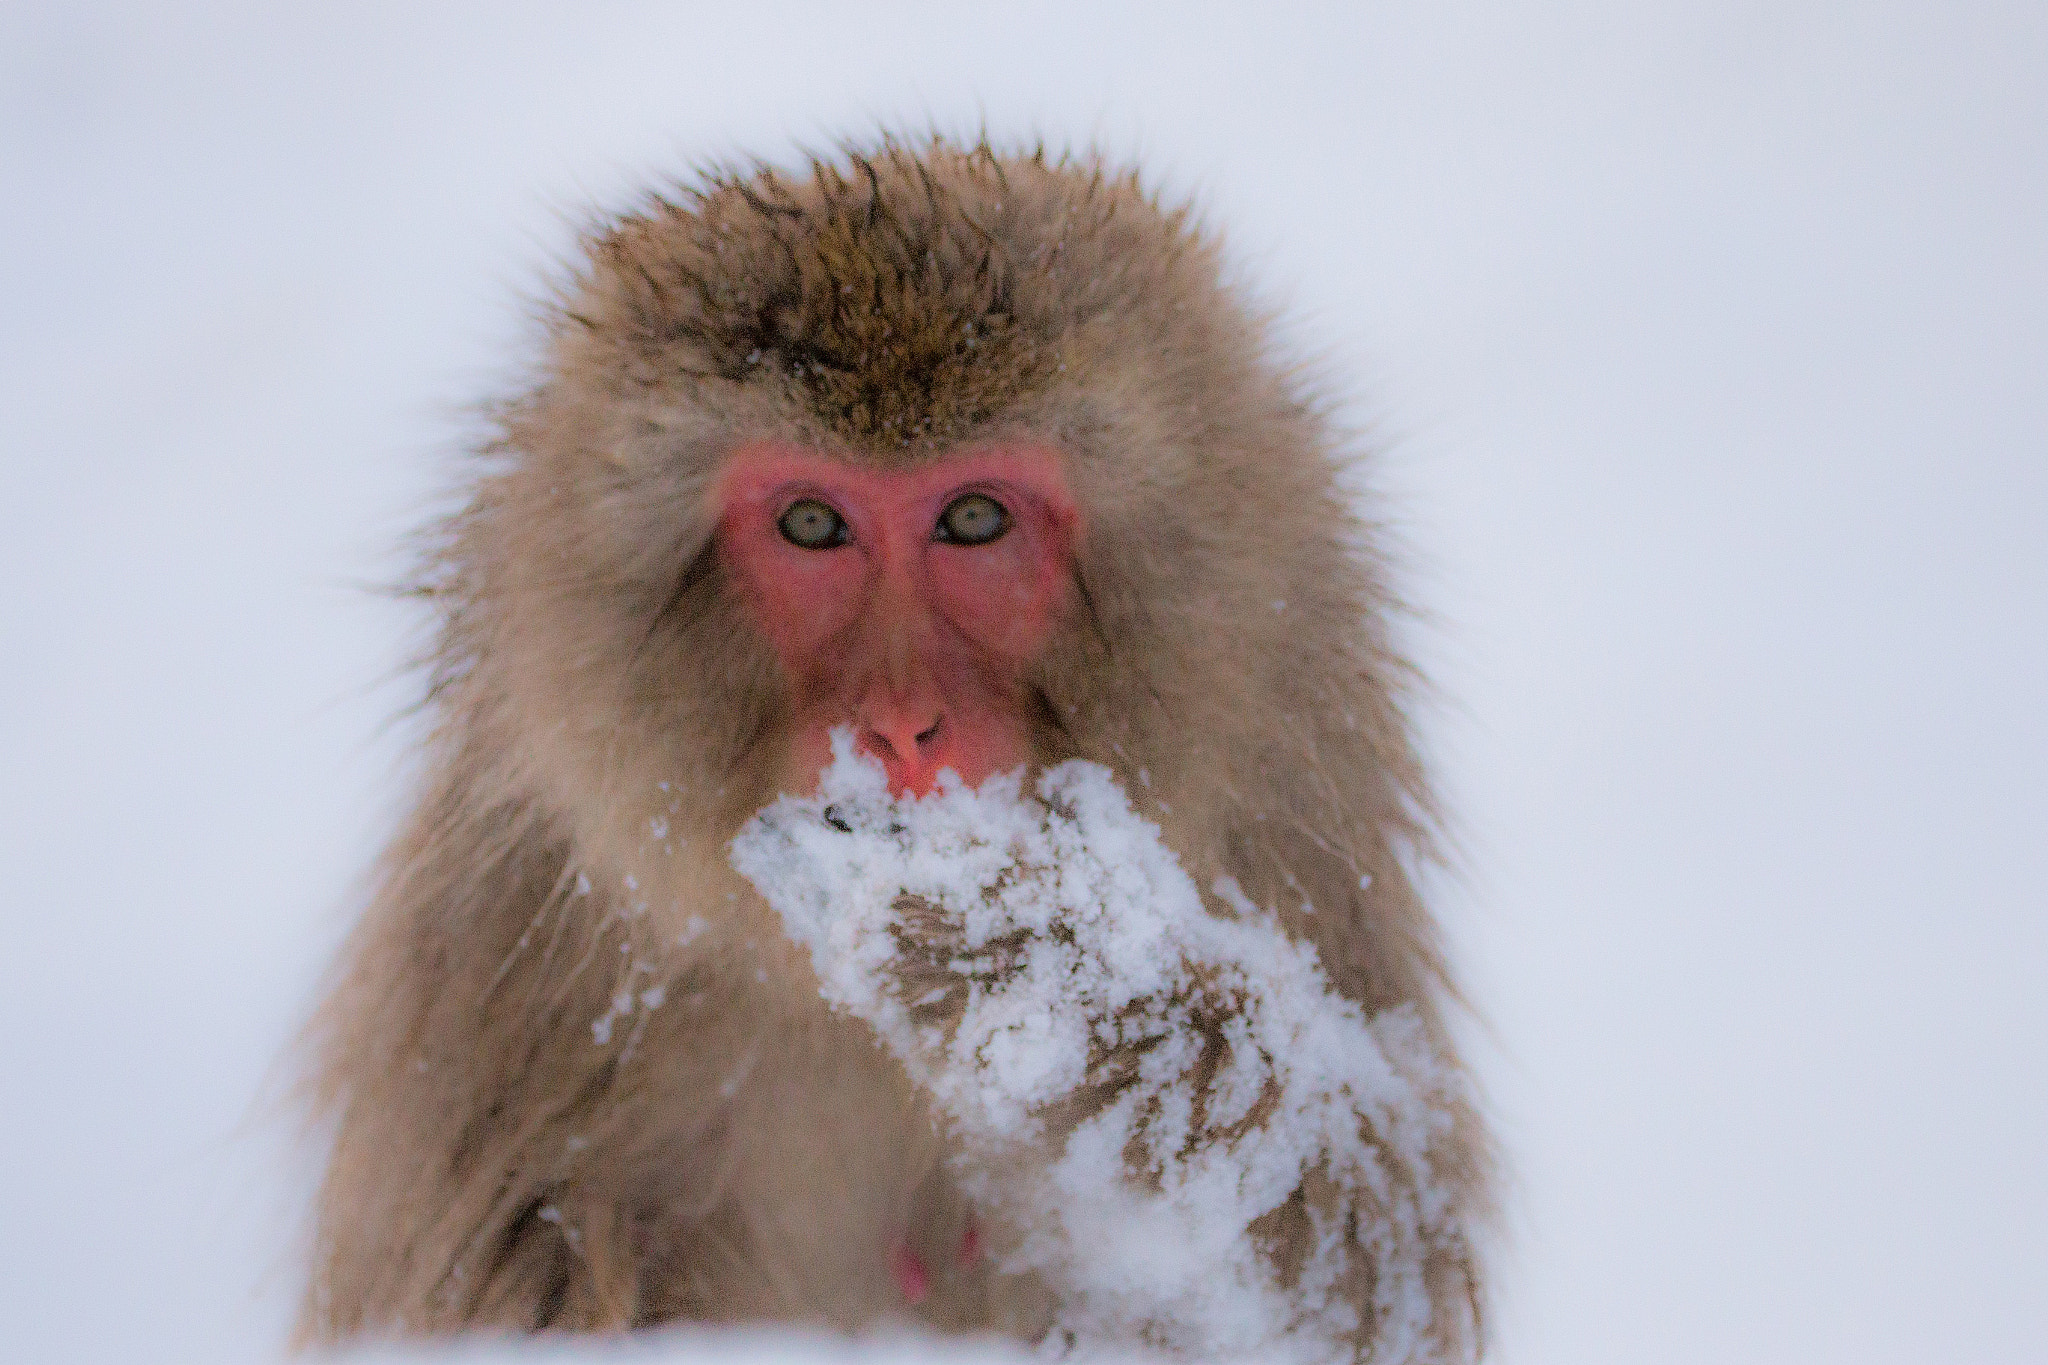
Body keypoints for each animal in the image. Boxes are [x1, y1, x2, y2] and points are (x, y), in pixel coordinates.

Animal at [299, 136, 1492, 1362]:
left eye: (972, 519)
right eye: (813, 525)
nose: (900, 723)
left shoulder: (1299, 796)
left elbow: (1372, 1265)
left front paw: (1040, 967)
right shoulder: (504, 948)